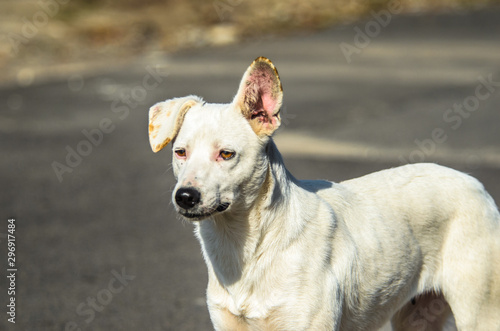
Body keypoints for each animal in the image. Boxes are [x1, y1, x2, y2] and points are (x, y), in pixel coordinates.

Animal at [148, 57, 500, 331]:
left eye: (226, 154)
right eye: (180, 152)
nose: (185, 196)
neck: (248, 248)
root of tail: (475, 184)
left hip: (479, 312)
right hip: (416, 316)